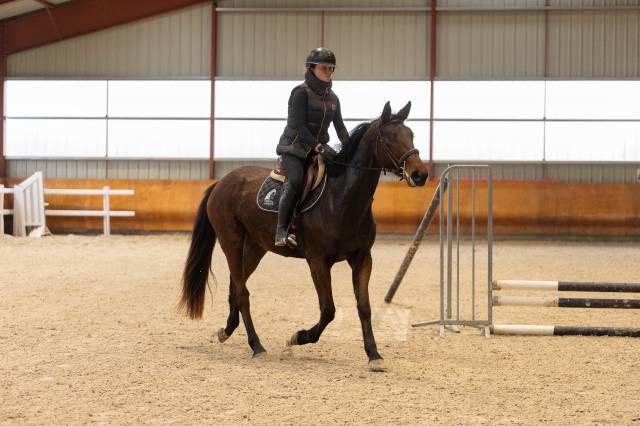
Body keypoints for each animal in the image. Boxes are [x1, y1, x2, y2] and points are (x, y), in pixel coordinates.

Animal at [179, 101, 428, 372]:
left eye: (411, 135)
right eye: (390, 138)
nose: (420, 174)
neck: (342, 198)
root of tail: (222, 182)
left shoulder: (362, 258)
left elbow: (364, 307)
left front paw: (374, 354)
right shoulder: (317, 261)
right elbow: (328, 310)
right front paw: (296, 338)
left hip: (256, 247)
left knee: (236, 286)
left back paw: (227, 331)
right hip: (231, 242)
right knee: (243, 293)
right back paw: (257, 346)